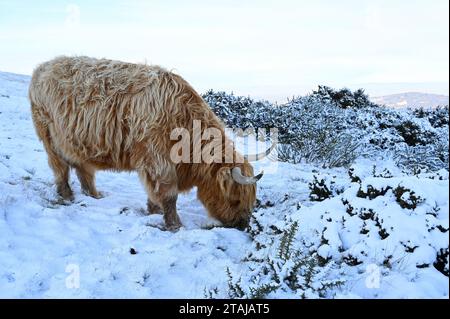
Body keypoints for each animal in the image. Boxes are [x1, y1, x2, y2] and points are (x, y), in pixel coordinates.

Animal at [29, 57, 268, 230]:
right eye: (235, 199)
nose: (242, 225)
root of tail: (42, 67)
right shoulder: (157, 158)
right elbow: (169, 194)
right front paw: (175, 225)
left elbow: (156, 193)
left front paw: (153, 211)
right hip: (48, 134)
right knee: (59, 167)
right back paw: (67, 195)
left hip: (76, 142)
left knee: (82, 169)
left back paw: (94, 196)